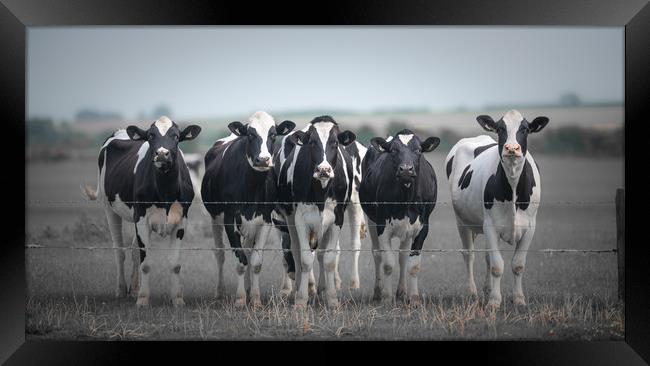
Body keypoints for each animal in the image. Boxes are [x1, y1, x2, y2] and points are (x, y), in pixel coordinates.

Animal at [82, 117, 201, 306]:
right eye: (151, 136)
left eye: (176, 136)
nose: (162, 154)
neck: (165, 193)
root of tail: (119, 131)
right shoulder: (142, 219)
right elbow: (146, 263)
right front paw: (143, 299)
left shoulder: (181, 221)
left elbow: (175, 264)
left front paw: (177, 299)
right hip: (109, 208)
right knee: (119, 251)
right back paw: (121, 290)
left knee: (133, 251)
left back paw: (134, 290)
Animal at [201, 111, 294, 308]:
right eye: (250, 134)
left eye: (273, 134)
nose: (263, 159)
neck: (252, 186)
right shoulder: (229, 220)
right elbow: (240, 261)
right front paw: (240, 298)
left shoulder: (265, 221)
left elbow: (255, 262)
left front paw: (256, 299)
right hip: (215, 218)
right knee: (220, 253)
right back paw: (220, 292)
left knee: (248, 251)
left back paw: (250, 288)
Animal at [272, 116, 356, 308]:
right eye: (312, 142)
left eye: (335, 143)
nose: (323, 170)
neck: (321, 193)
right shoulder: (301, 219)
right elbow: (304, 259)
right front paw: (301, 300)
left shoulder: (337, 219)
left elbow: (329, 259)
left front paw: (332, 299)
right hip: (290, 219)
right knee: (296, 251)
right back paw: (300, 288)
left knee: (321, 254)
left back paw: (322, 289)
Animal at [356, 129, 438, 304]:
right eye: (393, 150)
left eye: (418, 150)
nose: (406, 169)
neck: (406, 200)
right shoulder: (382, 226)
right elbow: (388, 263)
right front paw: (387, 297)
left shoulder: (422, 227)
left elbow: (413, 264)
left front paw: (414, 298)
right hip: (371, 220)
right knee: (377, 254)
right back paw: (378, 292)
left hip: (407, 229)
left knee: (403, 256)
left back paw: (402, 292)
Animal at [446, 109, 548, 308]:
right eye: (500, 128)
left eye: (525, 129)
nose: (512, 148)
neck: (513, 186)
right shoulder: (491, 226)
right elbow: (497, 265)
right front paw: (494, 301)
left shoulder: (530, 227)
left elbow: (517, 264)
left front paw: (519, 299)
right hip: (461, 221)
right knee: (469, 255)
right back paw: (472, 292)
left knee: (486, 257)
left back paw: (486, 289)